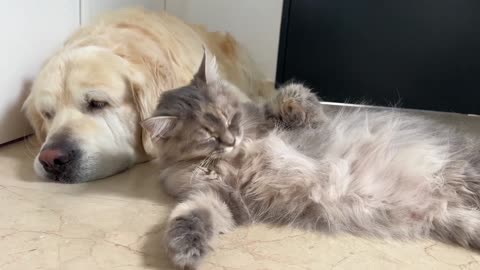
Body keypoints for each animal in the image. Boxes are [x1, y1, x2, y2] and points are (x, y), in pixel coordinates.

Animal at [142, 51, 480, 268]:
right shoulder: (218, 197)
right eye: (208, 136)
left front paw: (283, 103)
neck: (235, 156)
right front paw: (184, 250)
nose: (231, 140)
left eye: (231, 118)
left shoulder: (309, 122)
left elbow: (291, 94)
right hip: (456, 219)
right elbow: (190, 215)